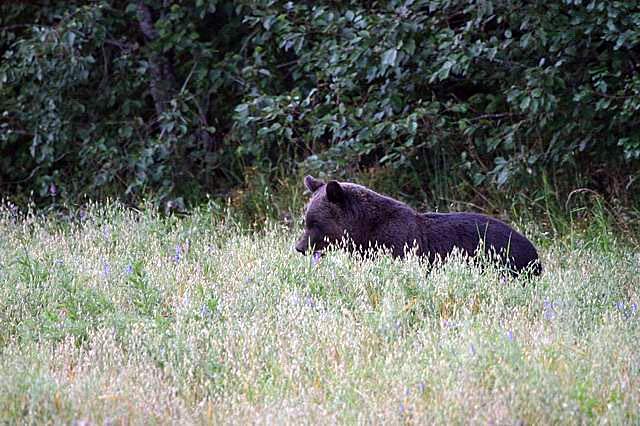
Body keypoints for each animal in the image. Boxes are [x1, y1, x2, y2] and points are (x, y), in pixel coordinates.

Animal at [296, 176, 540, 276]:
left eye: (314, 223)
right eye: (306, 220)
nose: (299, 247)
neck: (363, 230)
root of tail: (535, 253)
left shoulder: (397, 243)